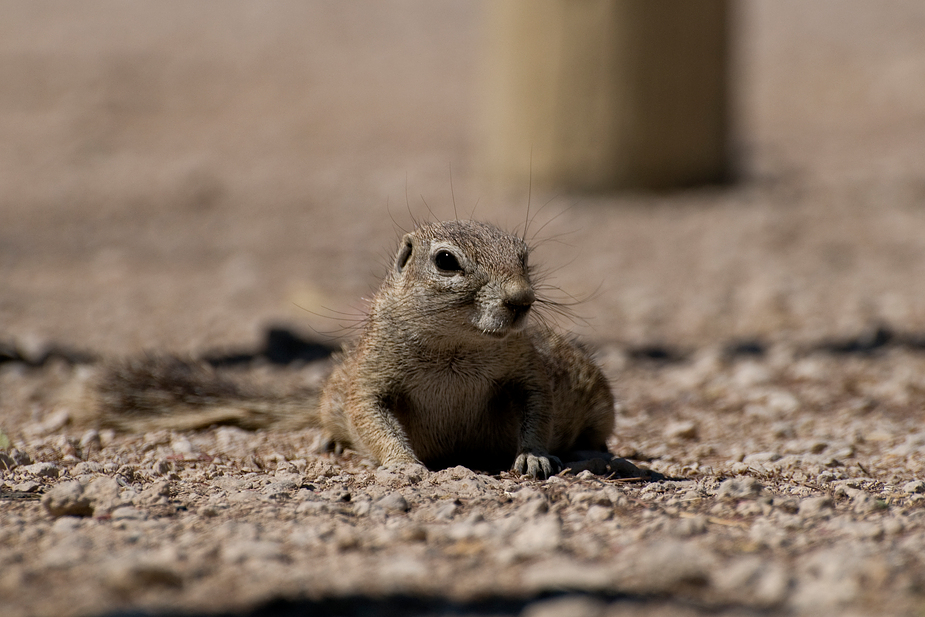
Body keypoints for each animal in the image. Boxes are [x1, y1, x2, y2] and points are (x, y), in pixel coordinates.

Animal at [95, 219, 612, 478]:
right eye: (447, 261)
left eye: (524, 256)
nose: (522, 299)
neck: (456, 346)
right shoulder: (369, 378)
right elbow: (371, 417)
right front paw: (403, 465)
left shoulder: (529, 373)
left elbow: (539, 409)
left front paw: (534, 456)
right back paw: (329, 440)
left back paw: (596, 450)